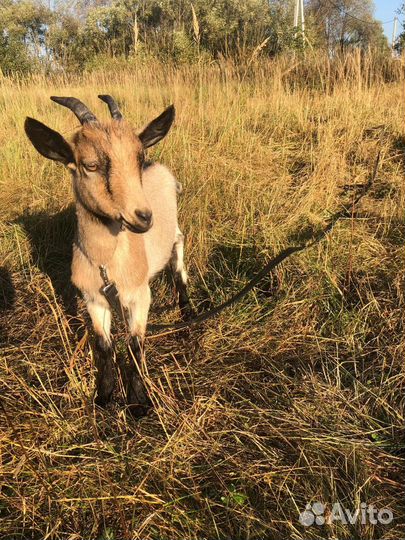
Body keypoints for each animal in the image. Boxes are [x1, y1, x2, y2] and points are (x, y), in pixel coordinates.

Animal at [25, 96, 193, 418]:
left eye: (138, 157)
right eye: (90, 165)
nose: (143, 217)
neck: (106, 263)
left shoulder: (140, 295)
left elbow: (135, 344)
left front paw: (138, 402)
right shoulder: (93, 298)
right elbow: (104, 345)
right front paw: (103, 396)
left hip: (174, 229)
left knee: (178, 252)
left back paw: (187, 312)